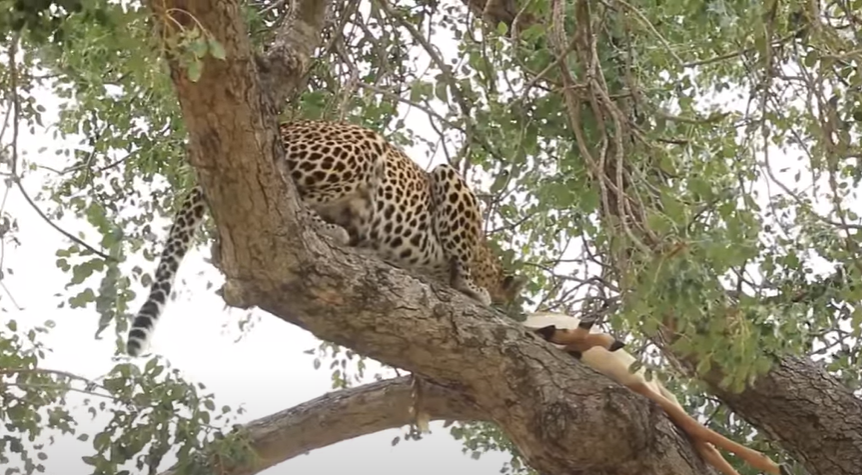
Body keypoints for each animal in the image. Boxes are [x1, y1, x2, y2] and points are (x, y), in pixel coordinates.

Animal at [125, 120, 527, 357]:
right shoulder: (450, 183)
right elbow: (462, 263)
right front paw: (474, 289)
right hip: (361, 147)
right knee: (293, 198)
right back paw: (336, 230)